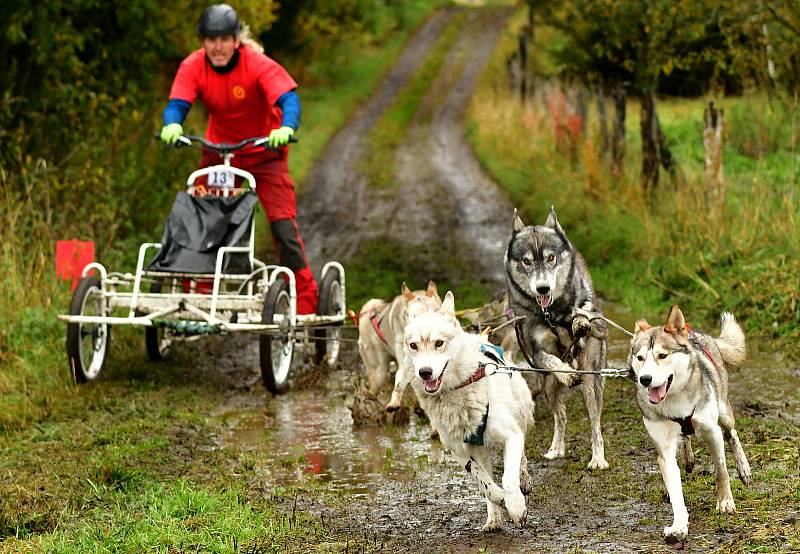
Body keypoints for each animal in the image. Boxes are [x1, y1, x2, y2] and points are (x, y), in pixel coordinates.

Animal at [404, 292, 536, 528]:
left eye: (439, 343)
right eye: (413, 345)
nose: (424, 372)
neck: (456, 389)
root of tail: (482, 339)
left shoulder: (511, 436)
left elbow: (508, 478)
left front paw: (516, 506)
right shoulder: (459, 450)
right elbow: (485, 485)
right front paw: (501, 499)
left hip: (520, 417)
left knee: (521, 457)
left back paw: (524, 480)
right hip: (480, 450)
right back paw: (493, 520)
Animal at [504, 209, 608, 468]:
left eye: (550, 258)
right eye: (527, 261)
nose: (542, 288)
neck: (550, 314)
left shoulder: (586, 334)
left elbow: (580, 319)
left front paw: (578, 321)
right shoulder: (536, 350)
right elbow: (550, 360)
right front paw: (567, 374)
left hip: (592, 381)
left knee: (595, 421)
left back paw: (597, 458)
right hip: (549, 386)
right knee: (560, 415)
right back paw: (556, 448)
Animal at [632, 302, 752, 540]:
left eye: (662, 355)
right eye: (640, 358)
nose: (645, 379)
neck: (675, 399)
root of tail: (696, 334)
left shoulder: (712, 432)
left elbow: (721, 471)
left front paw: (725, 502)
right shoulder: (664, 449)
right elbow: (675, 491)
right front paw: (679, 525)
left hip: (723, 411)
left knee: (732, 434)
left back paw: (744, 468)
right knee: (686, 439)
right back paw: (688, 458)